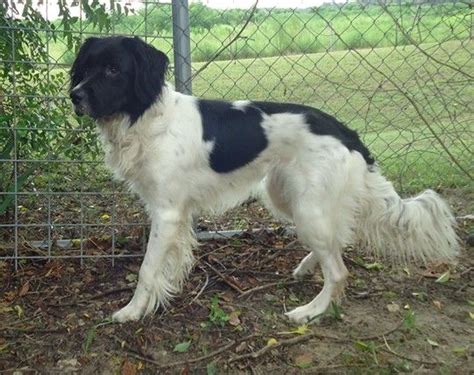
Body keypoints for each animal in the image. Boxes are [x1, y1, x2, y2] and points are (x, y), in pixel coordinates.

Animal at [68, 36, 458, 324]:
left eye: (113, 69)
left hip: (307, 208)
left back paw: (310, 311)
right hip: (287, 198)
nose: (74, 96)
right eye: (85, 68)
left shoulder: (167, 212)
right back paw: (307, 267)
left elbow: (147, 269)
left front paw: (133, 311)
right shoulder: (173, 213)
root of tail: (345, 131)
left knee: (339, 272)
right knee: (337, 241)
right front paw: (165, 293)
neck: (146, 117)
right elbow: (169, 262)